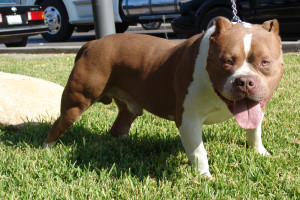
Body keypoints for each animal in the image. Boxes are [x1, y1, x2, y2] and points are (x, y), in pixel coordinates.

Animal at [42, 18, 284, 176]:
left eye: (265, 62)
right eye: (227, 61)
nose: (245, 81)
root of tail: (92, 43)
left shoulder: (256, 109)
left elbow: (254, 131)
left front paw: (260, 152)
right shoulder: (188, 120)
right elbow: (198, 151)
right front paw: (204, 177)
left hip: (128, 106)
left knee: (121, 123)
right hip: (76, 101)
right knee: (58, 125)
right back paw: (46, 149)